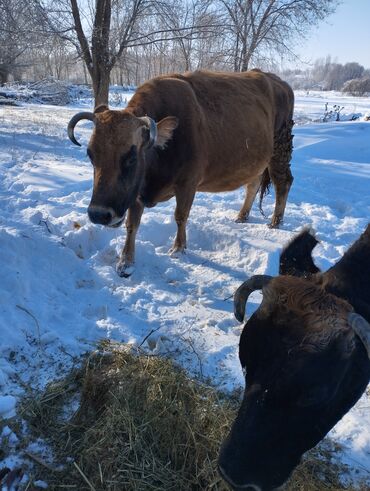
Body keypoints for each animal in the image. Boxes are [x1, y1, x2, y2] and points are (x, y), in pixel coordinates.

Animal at [66, 68, 294, 276]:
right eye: (90, 154)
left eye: (131, 156)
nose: (99, 214)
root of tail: (280, 83)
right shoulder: (137, 193)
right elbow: (132, 224)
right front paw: (126, 262)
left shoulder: (188, 184)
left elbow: (180, 216)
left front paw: (178, 248)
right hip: (258, 162)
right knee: (253, 183)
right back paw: (242, 216)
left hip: (280, 151)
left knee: (283, 182)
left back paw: (275, 221)